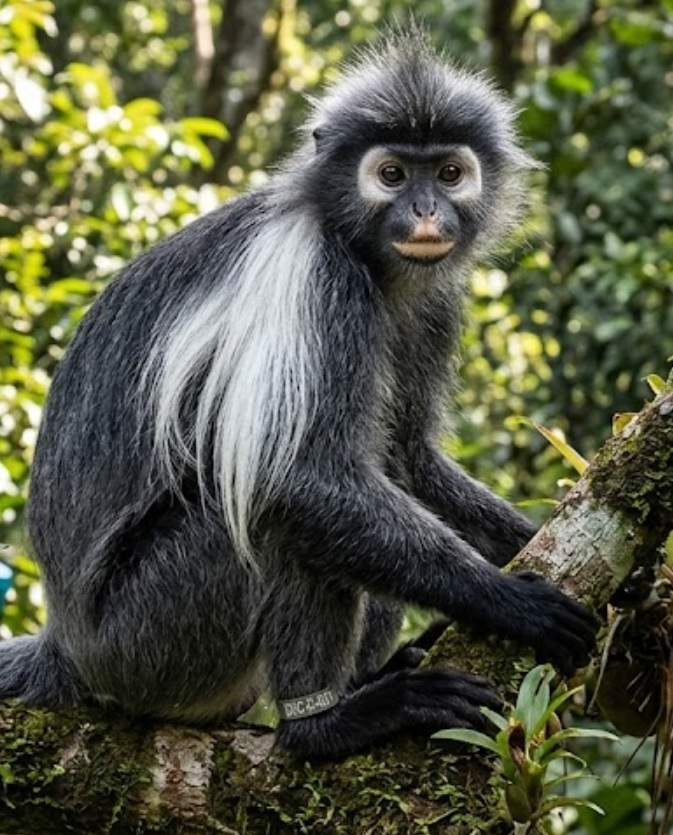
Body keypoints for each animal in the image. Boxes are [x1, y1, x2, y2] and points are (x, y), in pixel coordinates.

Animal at [0, 30, 597, 760]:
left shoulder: (432, 303)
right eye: (391, 175)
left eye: (448, 174)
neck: (362, 251)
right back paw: (327, 723)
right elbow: (297, 479)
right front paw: (509, 600)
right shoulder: (316, 276)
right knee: (267, 513)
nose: (425, 212)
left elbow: (409, 456)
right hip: (143, 640)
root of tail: (66, 644)